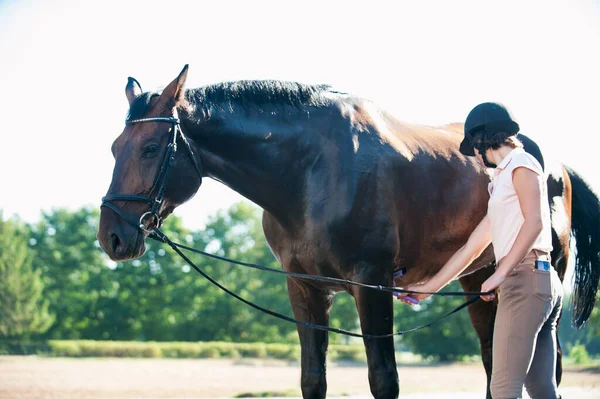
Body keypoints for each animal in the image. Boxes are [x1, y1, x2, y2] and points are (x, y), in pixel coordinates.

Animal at [96, 66, 596, 399]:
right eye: (115, 147)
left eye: (151, 147)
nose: (111, 237)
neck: (313, 170)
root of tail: (556, 165)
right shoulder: (305, 288)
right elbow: (312, 378)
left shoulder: (371, 284)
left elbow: (384, 379)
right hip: (479, 284)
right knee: (496, 362)